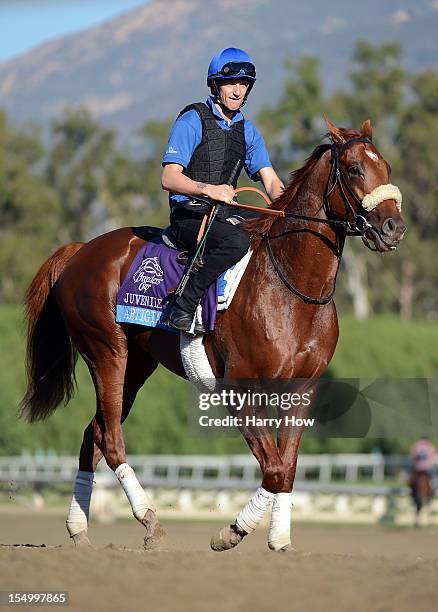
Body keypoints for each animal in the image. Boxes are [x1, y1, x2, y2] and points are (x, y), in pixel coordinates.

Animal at [19, 122, 404, 552]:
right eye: (354, 169)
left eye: (386, 167)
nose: (394, 227)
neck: (290, 285)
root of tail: (80, 250)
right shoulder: (240, 390)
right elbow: (273, 468)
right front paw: (231, 532)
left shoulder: (302, 390)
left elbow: (286, 468)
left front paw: (280, 540)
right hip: (107, 354)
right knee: (113, 439)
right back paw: (150, 521)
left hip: (137, 366)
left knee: (95, 436)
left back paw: (80, 530)